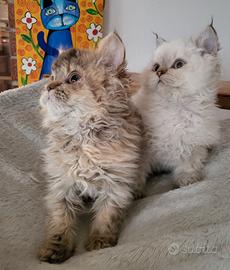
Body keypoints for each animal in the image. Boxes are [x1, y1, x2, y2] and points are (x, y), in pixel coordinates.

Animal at [38, 32, 146, 262]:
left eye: (74, 78)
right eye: (51, 77)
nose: (48, 87)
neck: (83, 134)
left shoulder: (115, 183)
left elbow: (107, 215)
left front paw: (100, 241)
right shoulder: (62, 184)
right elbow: (61, 220)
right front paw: (55, 248)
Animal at [133, 23, 221, 188]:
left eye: (178, 64)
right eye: (155, 67)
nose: (159, 72)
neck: (174, 107)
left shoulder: (193, 147)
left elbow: (187, 166)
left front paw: (186, 180)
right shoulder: (142, 150)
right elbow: (137, 172)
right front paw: (135, 191)